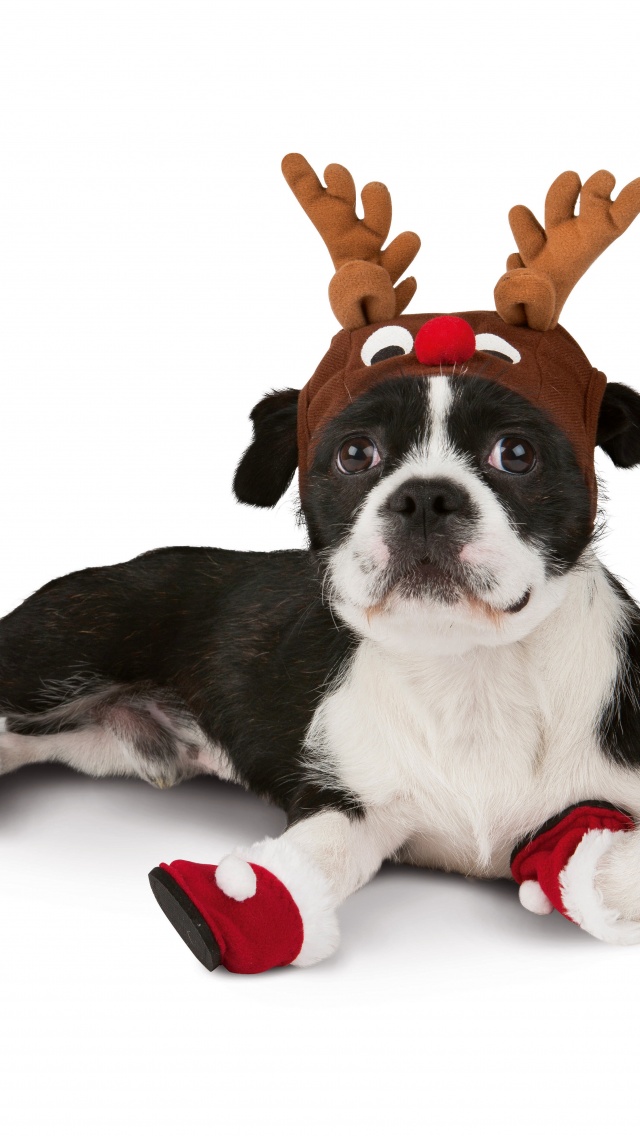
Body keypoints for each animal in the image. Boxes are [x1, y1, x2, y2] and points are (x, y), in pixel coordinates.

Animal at [1, 153, 640, 976]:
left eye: (517, 453)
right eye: (356, 453)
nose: (425, 497)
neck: (470, 675)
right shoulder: (349, 802)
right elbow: (313, 857)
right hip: (53, 649)